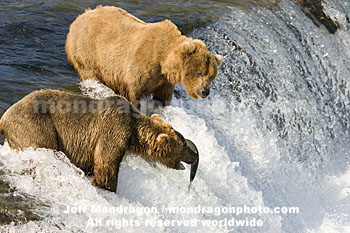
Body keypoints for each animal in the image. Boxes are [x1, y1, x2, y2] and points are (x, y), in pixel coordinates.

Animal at [0, 90, 197, 192]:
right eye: (184, 146)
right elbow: (106, 162)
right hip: (36, 125)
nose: (195, 155)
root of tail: (4, 117)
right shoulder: (114, 129)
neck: (134, 133)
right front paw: (107, 185)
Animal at [65, 5, 223, 105]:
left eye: (211, 76)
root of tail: (81, 16)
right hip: (86, 52)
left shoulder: (164, 81)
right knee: (90, 73)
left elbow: (162, 98)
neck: (163, 60)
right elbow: (133, 92)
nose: (205, 91)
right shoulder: (141, 66)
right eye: (199, 73)